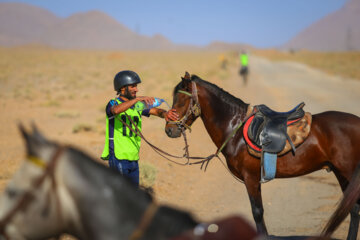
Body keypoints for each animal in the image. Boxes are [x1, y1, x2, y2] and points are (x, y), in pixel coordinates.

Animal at [165, 72, 360, 239]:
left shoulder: (250, 178)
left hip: (348, 172)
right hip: (341, 174)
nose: (169, 130)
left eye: (181, 101)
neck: (235, 129)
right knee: (353, 208)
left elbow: (257, 213)